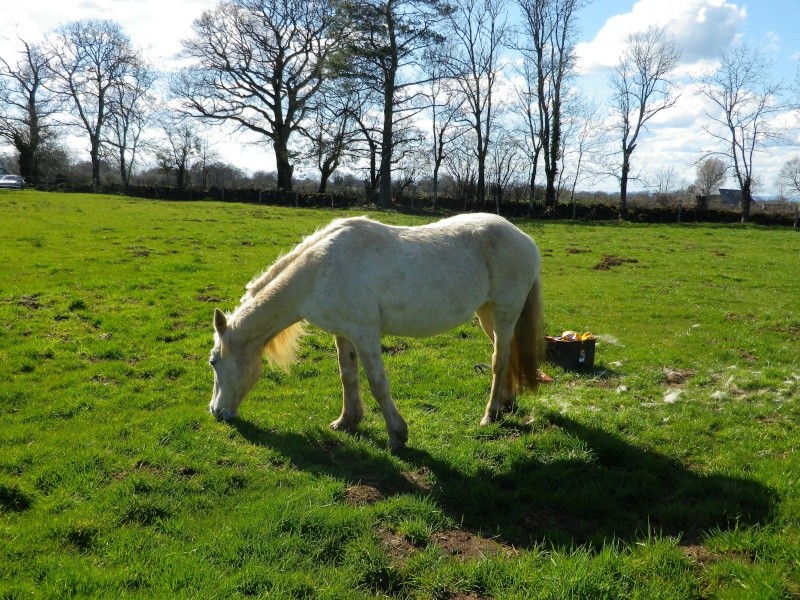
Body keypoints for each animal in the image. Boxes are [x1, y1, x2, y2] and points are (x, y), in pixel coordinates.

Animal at [208, 213, 544, 452]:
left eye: (213, 362)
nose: (216, 412)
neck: (319, 273)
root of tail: (524, 238)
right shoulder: (343, 333)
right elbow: (348, 375)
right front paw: (347, 420)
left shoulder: (365, 333)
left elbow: (377, 383)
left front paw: (397, 435)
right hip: (487, 314)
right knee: (505, 354)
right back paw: (506, 403)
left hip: (504, 312)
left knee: (499, 361)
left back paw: (490, 414)